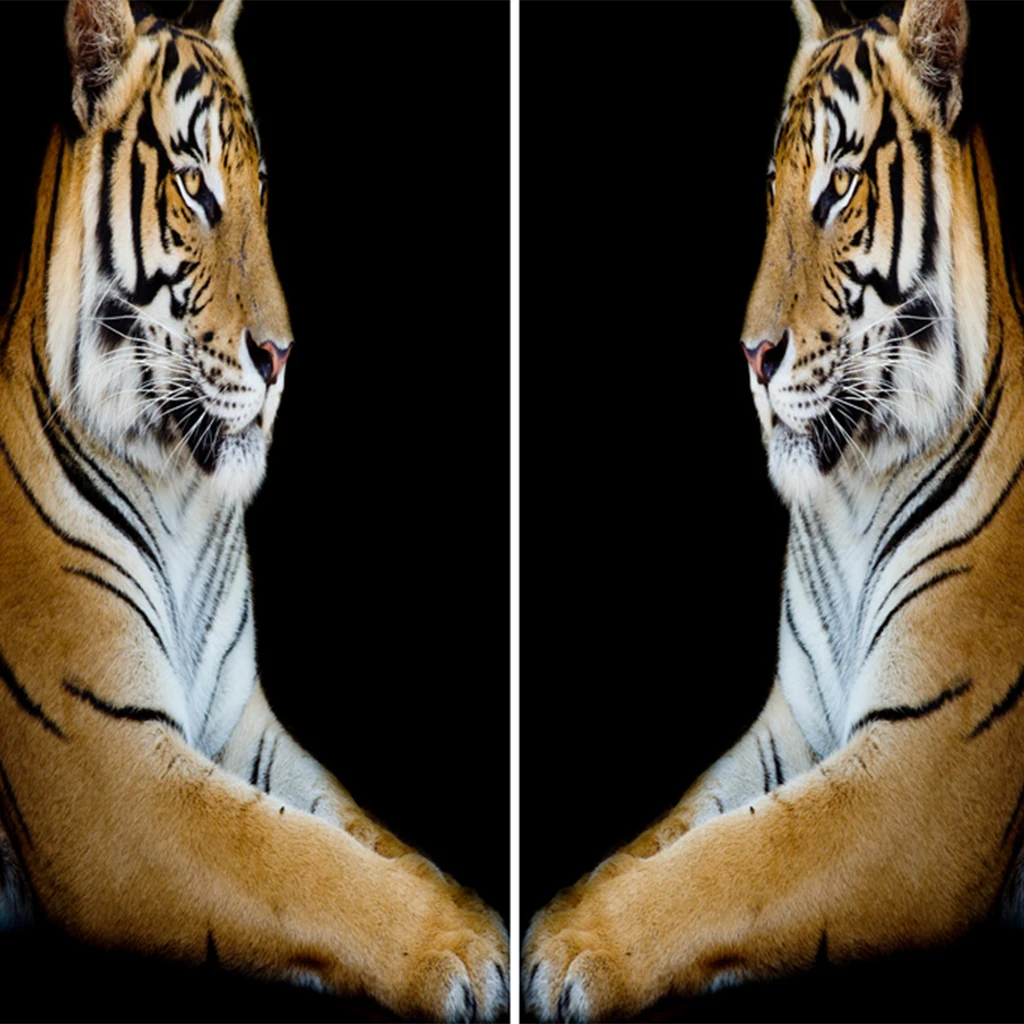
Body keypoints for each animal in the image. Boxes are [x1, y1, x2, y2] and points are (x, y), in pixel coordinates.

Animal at [0, 0, 508, 1019]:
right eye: (195, 188)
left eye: (259, 188)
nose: (281, 356)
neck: (180, 492)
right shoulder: (109, 766)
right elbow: (295, 860)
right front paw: (463, 951)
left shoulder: (243, 724)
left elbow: (362, 833)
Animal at [523, 0, 1024, 1019]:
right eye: (773, 189)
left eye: (838, 187)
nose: (751, 356)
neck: (854, 492)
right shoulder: (789, 723)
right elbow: (675, 831)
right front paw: (560, 911)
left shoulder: (927, 763)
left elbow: (739, 859)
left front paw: (571, 949)